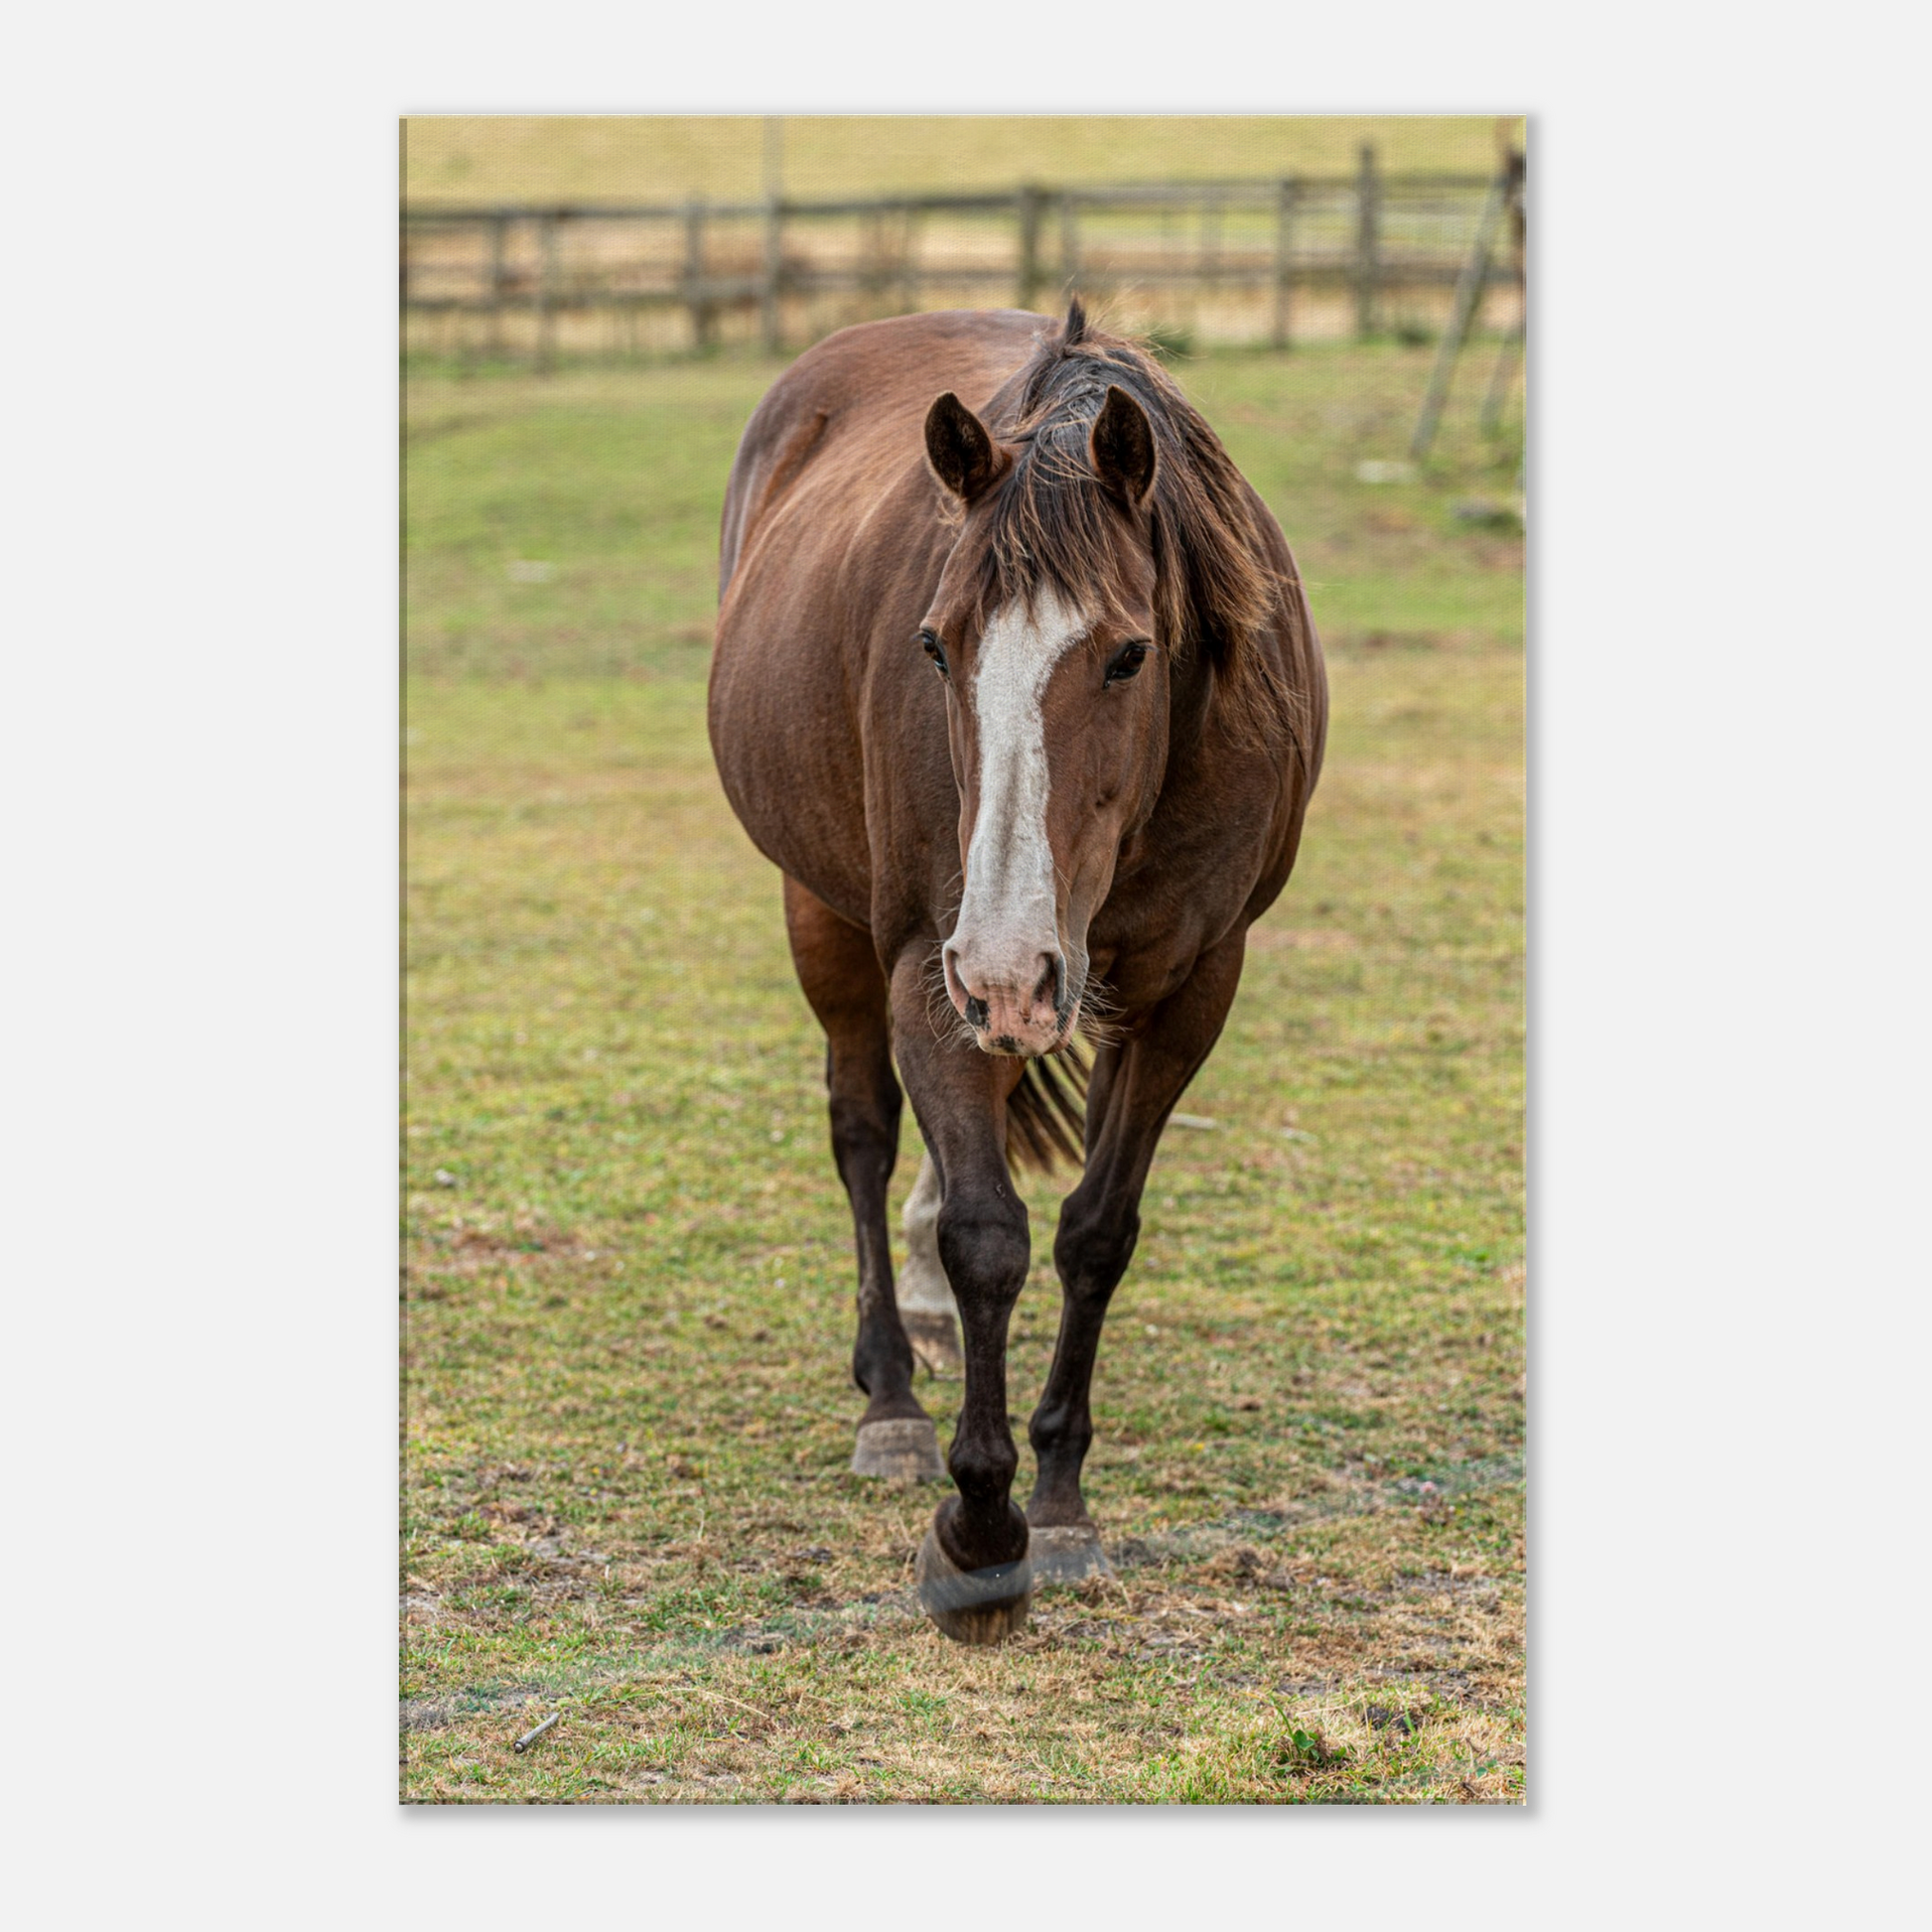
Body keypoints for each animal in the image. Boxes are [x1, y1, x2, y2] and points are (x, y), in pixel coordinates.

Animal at [711, 301, 1328, 1645]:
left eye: (1129, 654)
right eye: (935, 647)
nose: (1003, 968)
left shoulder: (1189, 985)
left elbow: (1095, 1231)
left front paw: (1057, 1499)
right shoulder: (925, 967)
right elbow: (988, 1232)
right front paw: (978, 1533)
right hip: (829, 916)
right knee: (862, 1131)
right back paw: (892, 1395)